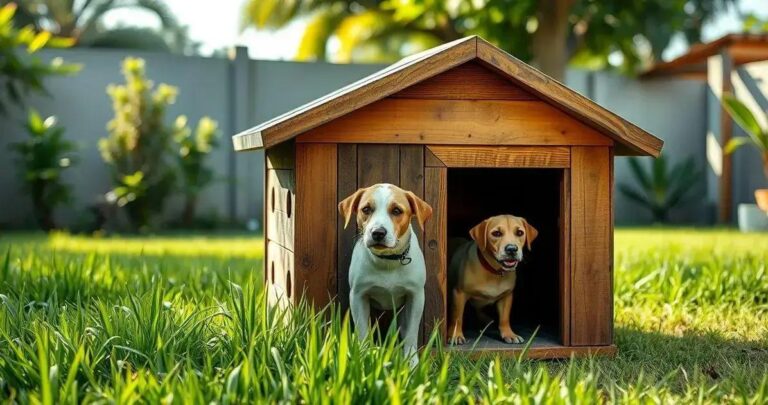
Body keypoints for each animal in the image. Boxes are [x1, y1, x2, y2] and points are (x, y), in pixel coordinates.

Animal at [340, 182, 432, 362]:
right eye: (366, 209)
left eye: (396, 211)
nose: (378, 232)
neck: (387, 261)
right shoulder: (358, 295)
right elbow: (362, 330)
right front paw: (363, 356)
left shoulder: (416, 295)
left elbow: (411, 333)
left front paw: (411, 361)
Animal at [448, 215, 536, 344]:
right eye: (496, 233)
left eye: (519, 232)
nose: (511, 249)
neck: (494, 271)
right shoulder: (459, 293)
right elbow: (457, 317)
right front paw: (456, 335)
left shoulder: (507, 296)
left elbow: (504, 318)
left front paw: (509, 334)